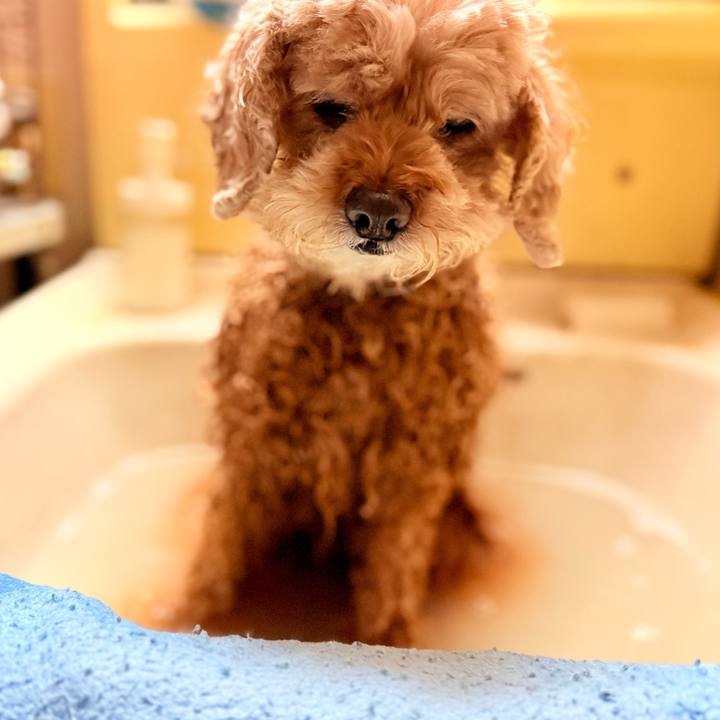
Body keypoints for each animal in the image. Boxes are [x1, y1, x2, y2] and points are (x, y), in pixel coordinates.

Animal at [176, 0, 576, 646]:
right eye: (331, 107)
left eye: (457, 125)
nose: (379, 214)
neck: (360, 320)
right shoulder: (249, 453)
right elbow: (213, 565)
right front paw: (186, 618)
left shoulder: (410, 480)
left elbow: (391, 583)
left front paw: (389, 642)